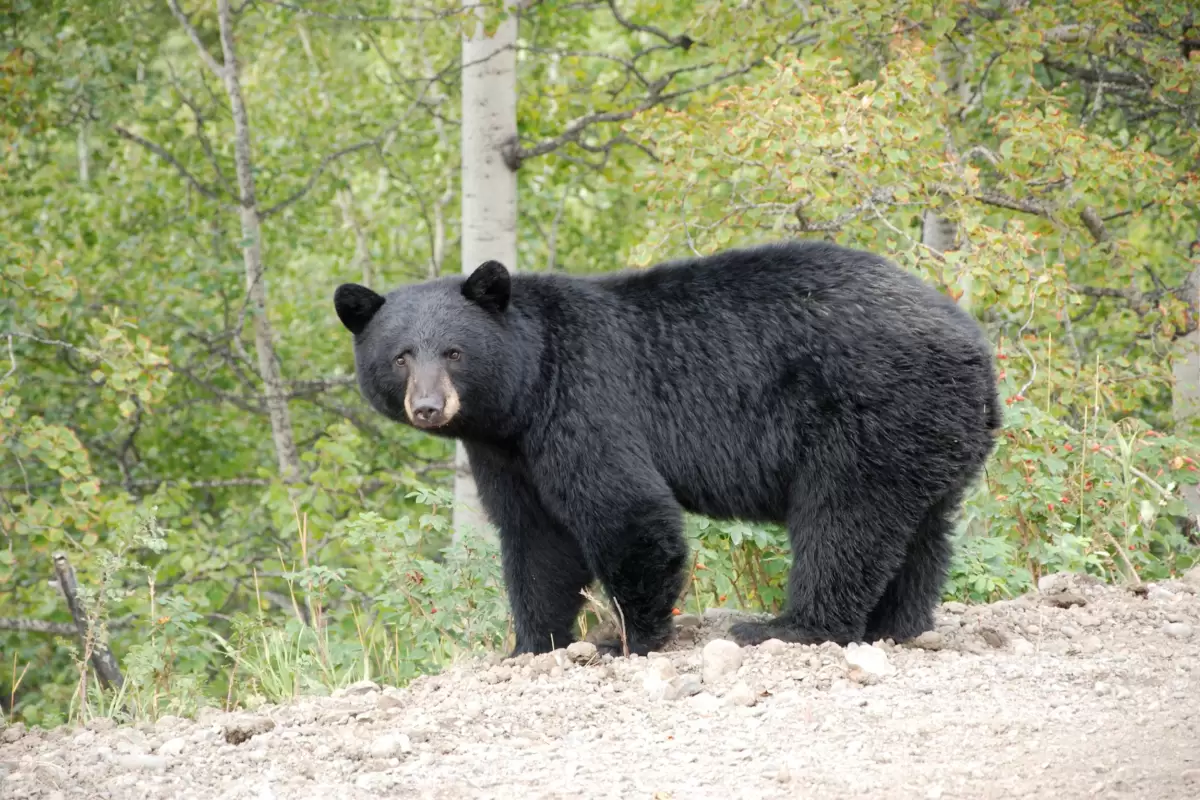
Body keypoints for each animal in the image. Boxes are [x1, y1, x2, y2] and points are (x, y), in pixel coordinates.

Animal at [333, 242, 998, 657]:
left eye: (454, 352)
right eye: (401, 356)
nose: (428, 406)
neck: (526, 390)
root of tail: (975, 347)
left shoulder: (585, 399)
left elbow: (626, 511)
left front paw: (626, 639)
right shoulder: (506, 451)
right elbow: (535, 538)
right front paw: (532, 643)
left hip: (870, 411)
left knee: (844, 520)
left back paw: (791, 627)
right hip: (928, 431)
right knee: (922, 531)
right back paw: (897, 624)